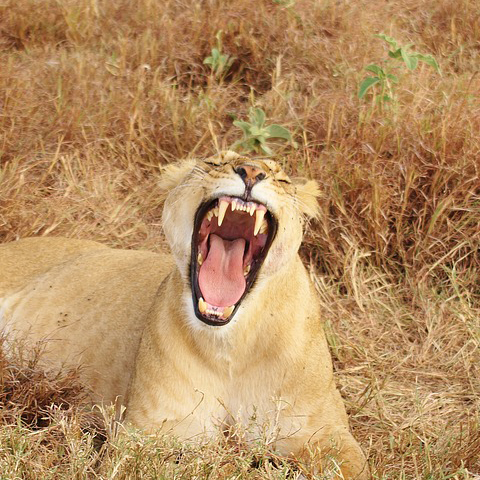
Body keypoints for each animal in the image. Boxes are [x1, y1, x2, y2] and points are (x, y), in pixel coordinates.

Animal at [0, 152, 368, 478]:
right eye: (215, 162)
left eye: (283, 178)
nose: (250, 171)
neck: (232, 344)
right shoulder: (140, 436)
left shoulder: (328, 432)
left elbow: (350, 466)